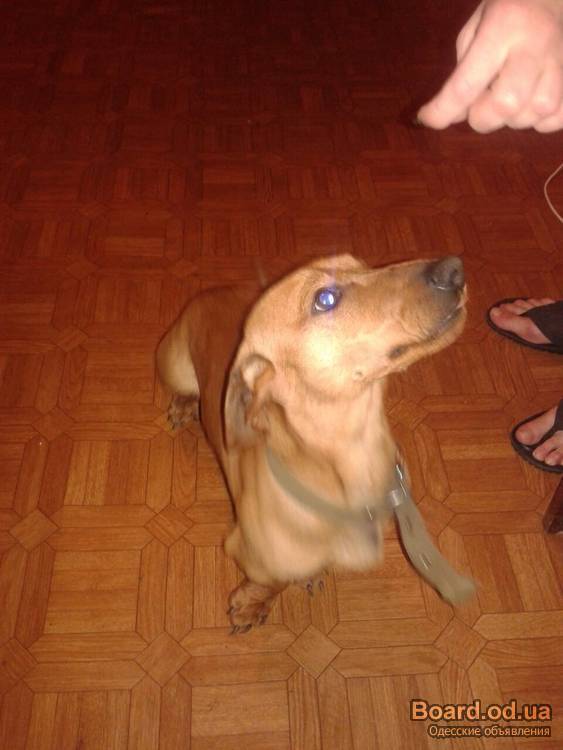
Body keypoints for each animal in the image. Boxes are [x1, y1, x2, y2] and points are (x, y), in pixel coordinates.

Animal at [156, 254, 467, 631]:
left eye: (364, 265)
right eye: (325, 299)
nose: (453, 269)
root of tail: (212, 290)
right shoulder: (252, 554)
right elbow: (271, 581)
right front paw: (253, 602)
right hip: (175, 367)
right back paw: (184, 405)